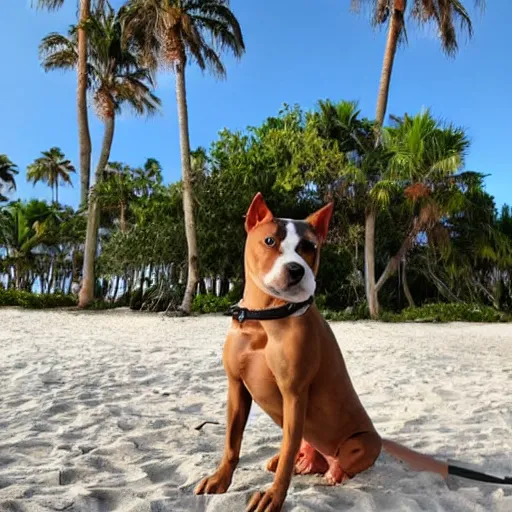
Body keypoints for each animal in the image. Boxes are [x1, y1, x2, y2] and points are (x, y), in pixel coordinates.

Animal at [195, 193, 508, 512]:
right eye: (270, 241)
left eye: (310, 247)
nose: (296, 270)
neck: (266, 317)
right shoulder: (237, 387)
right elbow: (232, 443)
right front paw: (220, 480)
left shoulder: (294, 394)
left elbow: (281, 458)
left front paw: (273, 496)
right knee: (300, 451)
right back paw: (302, 460)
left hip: (363, 442)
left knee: (334, 462)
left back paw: (331, 472)